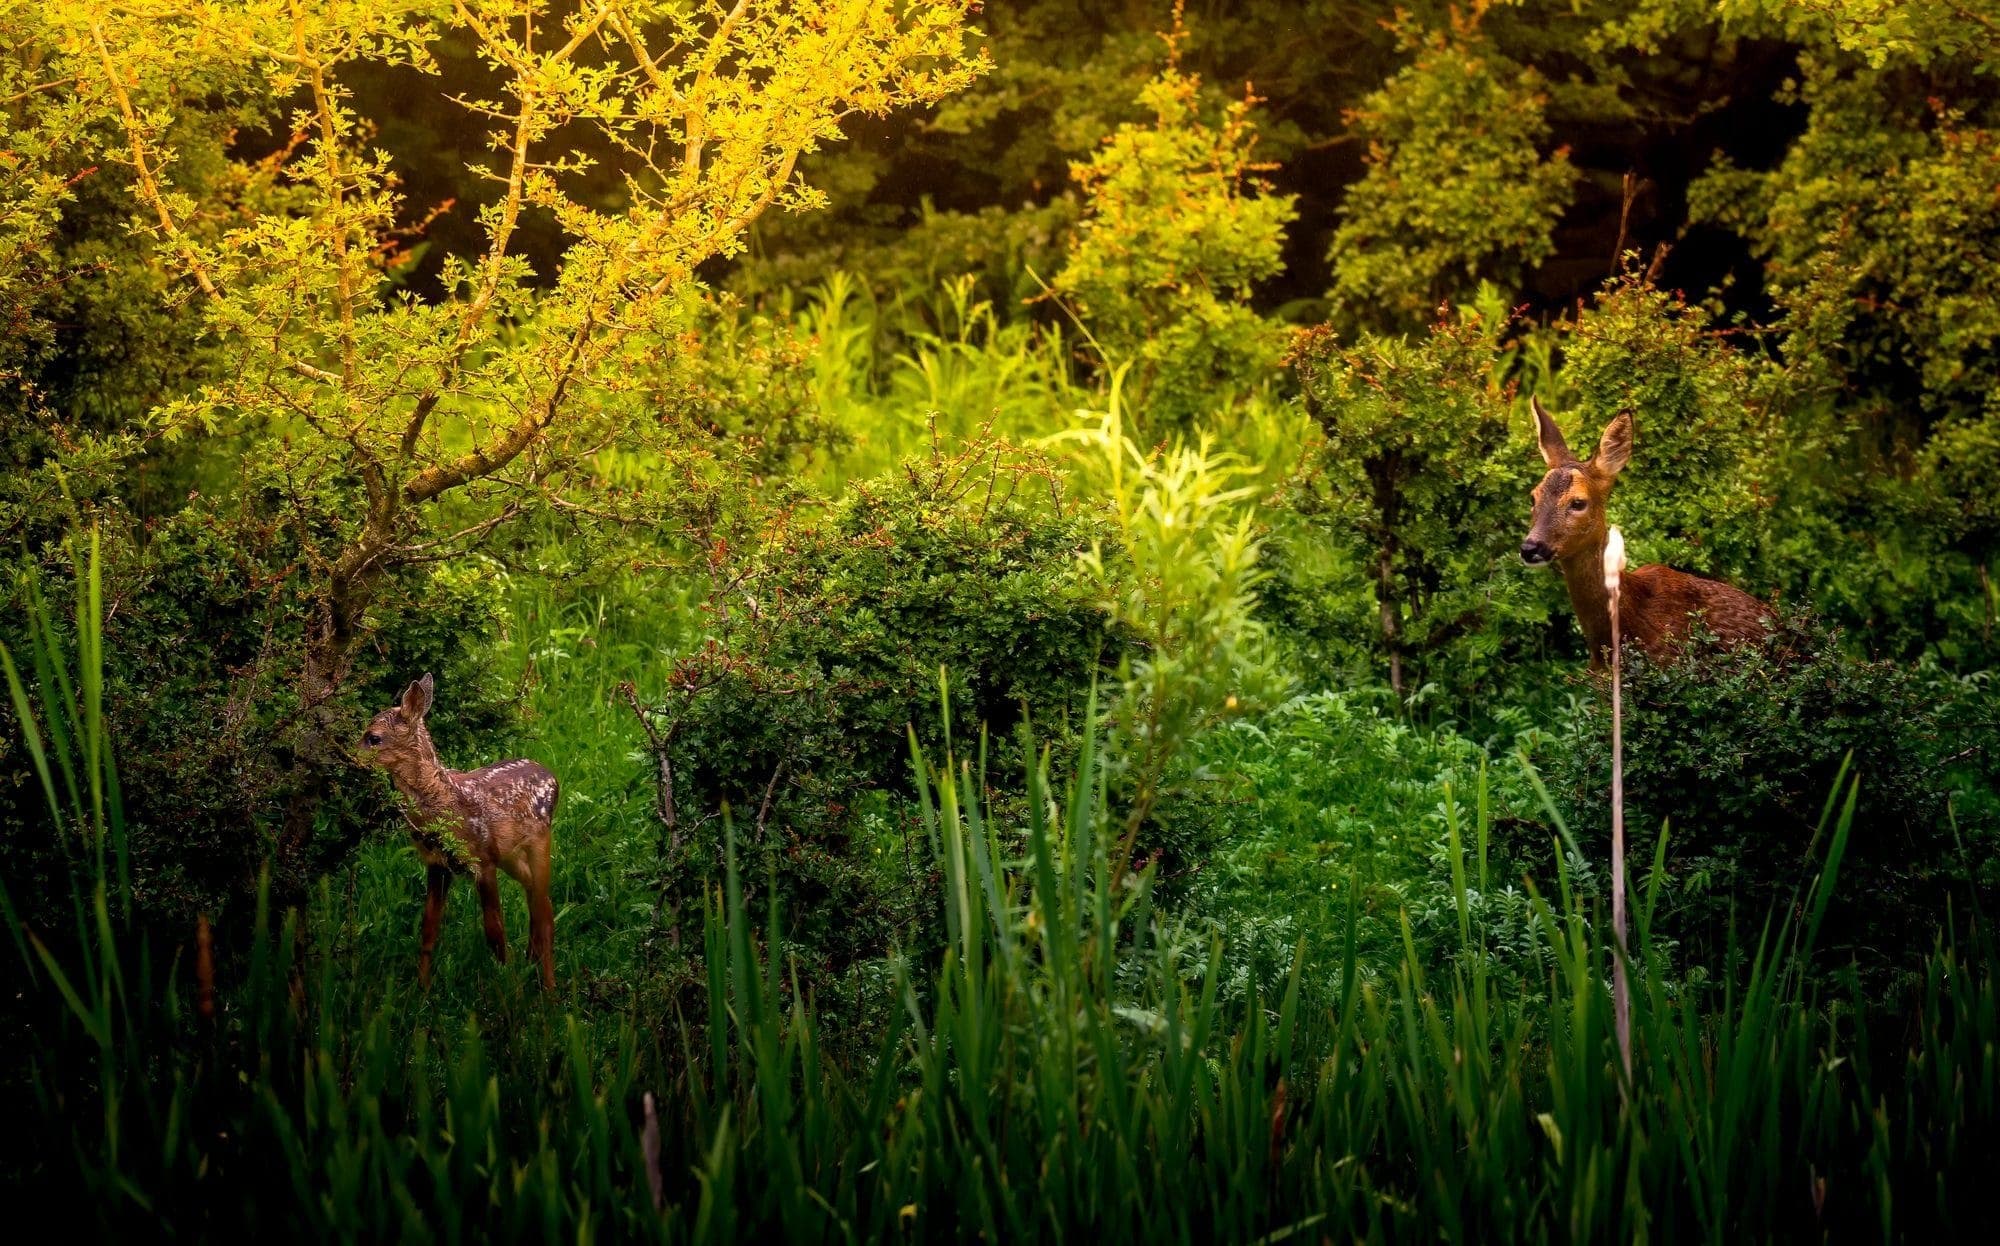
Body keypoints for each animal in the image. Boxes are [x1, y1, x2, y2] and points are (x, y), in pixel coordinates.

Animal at [358, 674, 559, 990]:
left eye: (373, 737)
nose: (352, 757)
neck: (444, 800)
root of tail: (552, 775)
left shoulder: (482, 860)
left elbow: (495, 934)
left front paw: (510, 990)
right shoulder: (437, 864)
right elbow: (429, 928)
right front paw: (422, 989)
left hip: (540, 840)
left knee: (543, 912)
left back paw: (549, 989)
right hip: (510, 856)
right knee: (538, 900)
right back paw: (532, 963)